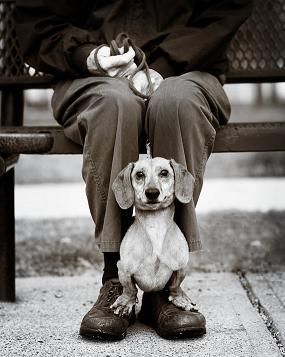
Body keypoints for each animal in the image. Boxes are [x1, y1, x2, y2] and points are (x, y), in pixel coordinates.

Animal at [110, 157, 196, 316]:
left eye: (164, 173)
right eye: (139, 174)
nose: (152, 192)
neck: (155, 225)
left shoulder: (181, 267)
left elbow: (175, 286)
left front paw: (178, 298)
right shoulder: (123, 269)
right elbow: (130, 289)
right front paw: (125, 302)